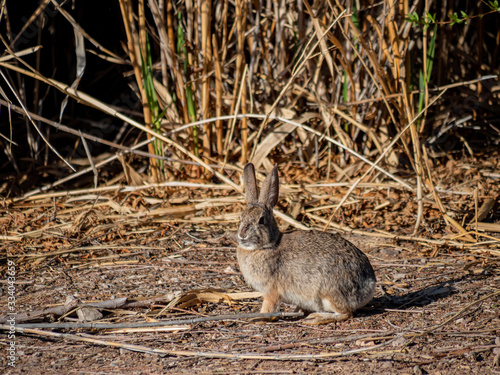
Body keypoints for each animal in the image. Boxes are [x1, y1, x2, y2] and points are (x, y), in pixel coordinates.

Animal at [237, 163, 376, 324]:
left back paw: (316, 318)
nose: (242, 235)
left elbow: (269, 308)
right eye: (240, 218)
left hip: (329, 292)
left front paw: (259, 318)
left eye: (261, 220)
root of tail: (369, 285)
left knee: (346, 313)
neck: (268, 245)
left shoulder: (271, 291)